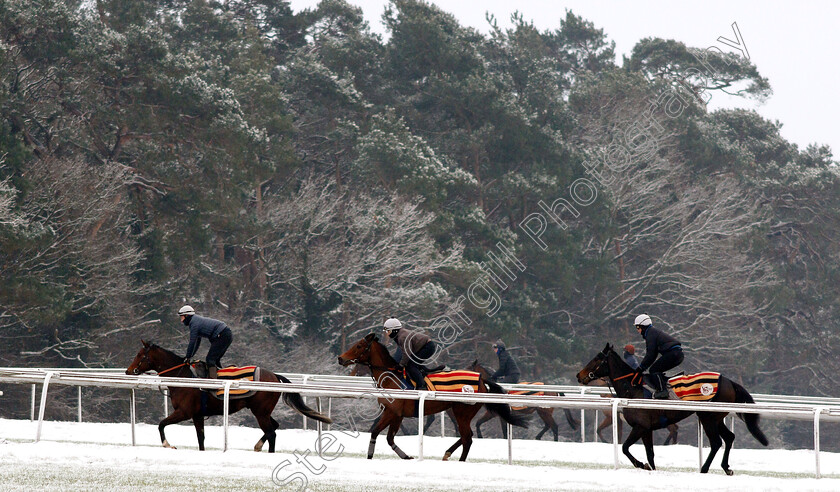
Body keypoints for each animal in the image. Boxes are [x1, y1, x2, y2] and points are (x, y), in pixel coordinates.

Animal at [128, 340, 332, 452]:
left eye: (139, 354)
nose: (129, 371)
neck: (183, 377)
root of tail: (274, 375)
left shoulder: (184, 412)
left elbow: (161, 424)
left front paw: (167, 444)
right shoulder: (197, 415)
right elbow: (200, 439)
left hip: (260, 412)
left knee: (272, 432)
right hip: (263, 411)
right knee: (274, 427)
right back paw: (259, 446)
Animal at [336, 334, 524, 462]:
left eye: (359, 346)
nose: (340, 358)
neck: (391, 377)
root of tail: (481, 380)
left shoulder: (392, 412)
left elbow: (379, 432)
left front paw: (372, 456)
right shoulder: (396, 414)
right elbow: (388, 437)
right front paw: (405, 456)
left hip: (462, 412)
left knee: (468, 438)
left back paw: (460, 461)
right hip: (459, 412)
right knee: (466, 436)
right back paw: (447, 453)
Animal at [576, 342, 768, 472]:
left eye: (597, 358)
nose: (579, 375)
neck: (633, 388)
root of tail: (729, 381)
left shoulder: (640, 426)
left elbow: (625, 448)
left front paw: (641, 464)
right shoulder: (647, 429)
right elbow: (650, 453)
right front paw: (650, 467)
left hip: (707, 417)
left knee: (716, 442)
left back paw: (704, 469)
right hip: (716, 418)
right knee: (729, 438)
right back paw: (726, 467)